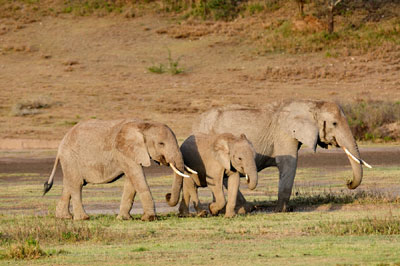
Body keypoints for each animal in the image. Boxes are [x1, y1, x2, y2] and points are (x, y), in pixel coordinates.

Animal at [43, 119, 188, 221]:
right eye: (161, 144)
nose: (167, 195)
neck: (142, 124)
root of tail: (60, 145)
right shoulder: (124, 152)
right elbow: (137, 177)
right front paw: (150, 219)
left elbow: (131, 181)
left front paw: (125, 218)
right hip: (70, 157)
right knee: (76, 184)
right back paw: (83, 218)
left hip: (69, 161)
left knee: (69, 184)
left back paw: (64, 217)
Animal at [194, 100, 372, 212]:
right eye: (334, 123)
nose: (348, 182)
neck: (312, 104)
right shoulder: (285, 134)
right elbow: (288, 163)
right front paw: (283, 210)